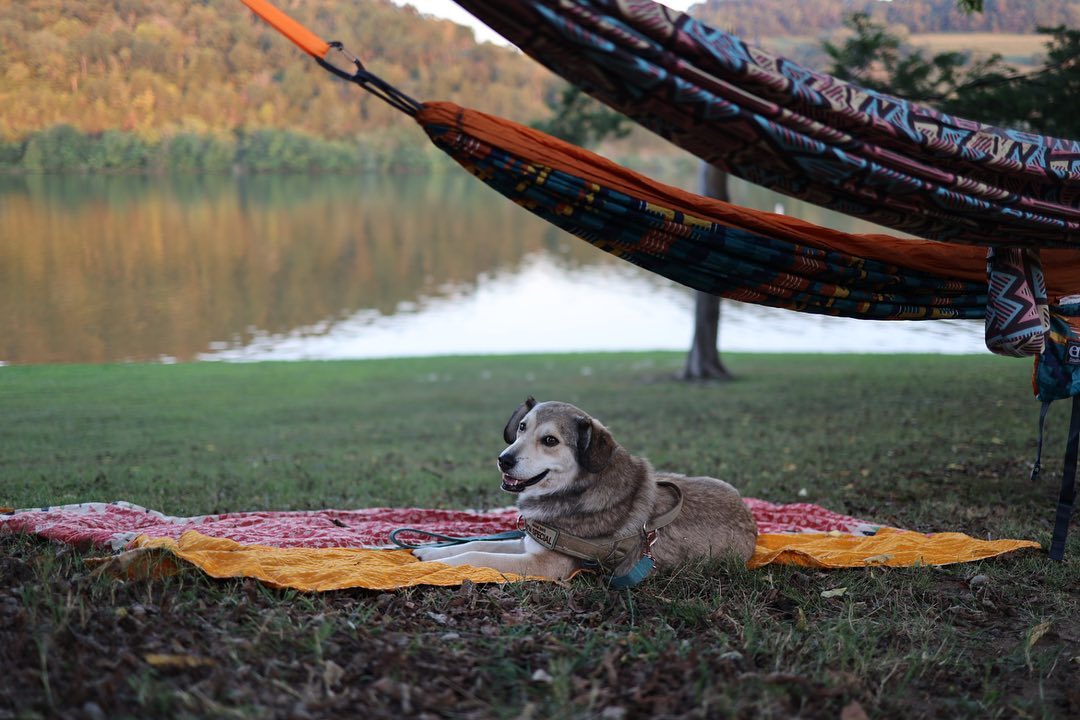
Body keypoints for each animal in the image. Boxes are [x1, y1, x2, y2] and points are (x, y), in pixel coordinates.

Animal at [412, 397, 760, 582]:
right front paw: (429, 551)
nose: (503, 460)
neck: (576, 490)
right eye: (522, 427)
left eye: (550, 440)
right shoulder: (529, 544)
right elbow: (476, 545)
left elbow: (477, 555)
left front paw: (436, 565)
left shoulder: (545, 565)